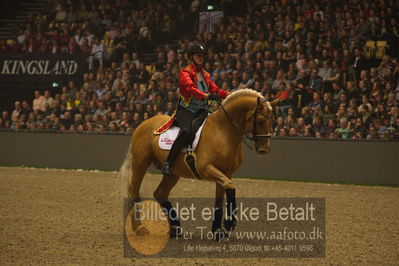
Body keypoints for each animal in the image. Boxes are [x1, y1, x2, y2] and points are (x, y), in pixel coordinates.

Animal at [119, 89, 278, 239]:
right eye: (261, 120)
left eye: (272, 121)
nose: (264, 149)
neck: (222, 131)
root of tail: (144, 123)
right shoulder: (207, 169)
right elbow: (230, 187)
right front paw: (229, 224)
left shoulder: (225, 173)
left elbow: (220, 198)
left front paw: (217, 231)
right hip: (140, 164)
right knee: (134, 192)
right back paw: (139, 228)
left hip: (173, 173)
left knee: (160, 194)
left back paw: (175, 229)